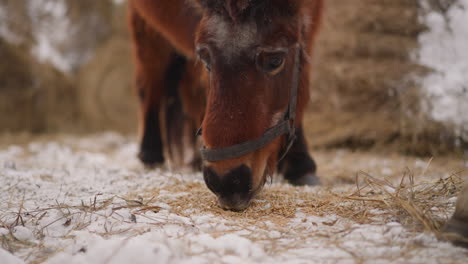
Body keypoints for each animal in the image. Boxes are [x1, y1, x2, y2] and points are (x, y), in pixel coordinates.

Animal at [130, 0, 324, 210]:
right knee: (151, 82)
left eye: (275, 60)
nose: (227, 181)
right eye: (205, 58)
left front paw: (301, 166)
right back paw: (150, 155)